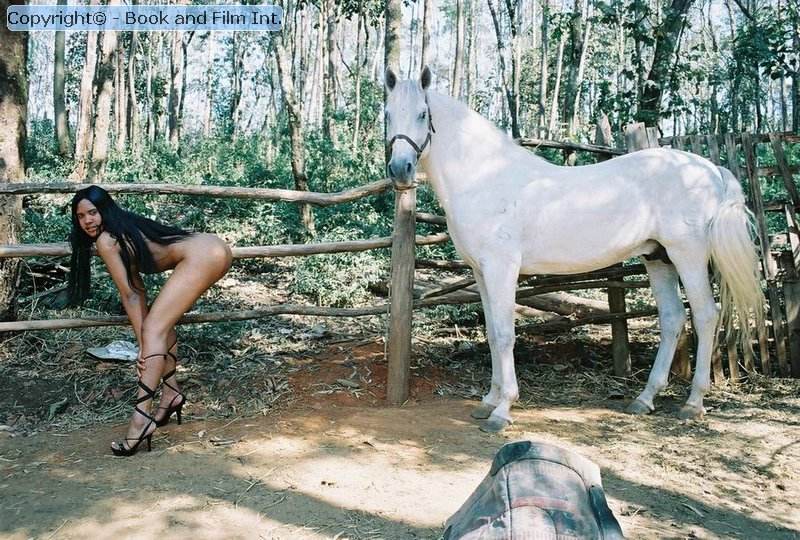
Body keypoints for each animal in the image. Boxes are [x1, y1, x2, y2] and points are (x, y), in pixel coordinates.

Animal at [384, 67, 765, 432]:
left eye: (422, 114)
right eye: (387, 114)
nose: (400, 169)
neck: (484, 178)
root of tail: (710, 169)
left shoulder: (501, 268)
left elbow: (505, 334)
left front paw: (503, 410)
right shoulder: (480, 271)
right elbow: (492, 333)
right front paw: (488, 401)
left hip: (688, 255)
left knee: (705, 315)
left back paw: (693, 403)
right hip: (658, 258)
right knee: (673, 318)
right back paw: (644, 399)